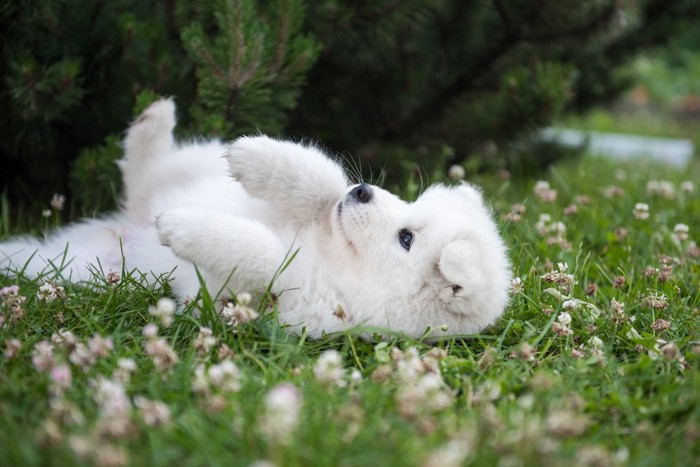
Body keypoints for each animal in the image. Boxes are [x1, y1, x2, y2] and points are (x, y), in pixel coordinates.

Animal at [1, 99, 516, 340]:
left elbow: (259, 250)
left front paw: (184, 227)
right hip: (187, 167)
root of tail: (121, 227)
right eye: (408, 212)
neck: (344, 259)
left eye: (405, 238)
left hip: (71, 269)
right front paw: (254, 155)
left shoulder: (290, 290)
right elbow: (322, 180)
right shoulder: (320, 212)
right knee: (144, 175)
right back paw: (155, 120)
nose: (363, 191)